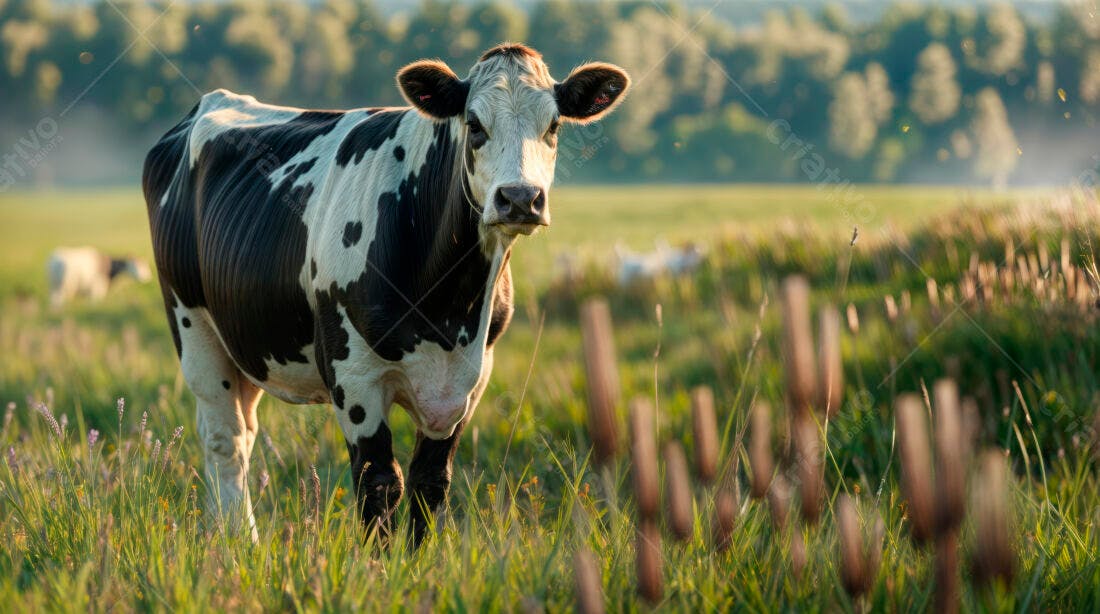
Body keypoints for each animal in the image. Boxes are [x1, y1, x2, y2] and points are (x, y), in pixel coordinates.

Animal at [142, 43, 630, 543]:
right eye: (474, 124)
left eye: (553, 125)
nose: (519, 198)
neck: (450, 305)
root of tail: (211, 102)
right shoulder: (353, 376)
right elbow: (378, 480)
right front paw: (377, 561)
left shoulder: (470, 380)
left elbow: (429, 482)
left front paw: (417, 559)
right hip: (194, 329)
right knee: (226, 441)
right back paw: (240, 542)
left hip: (250, 345)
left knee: (240, 430)